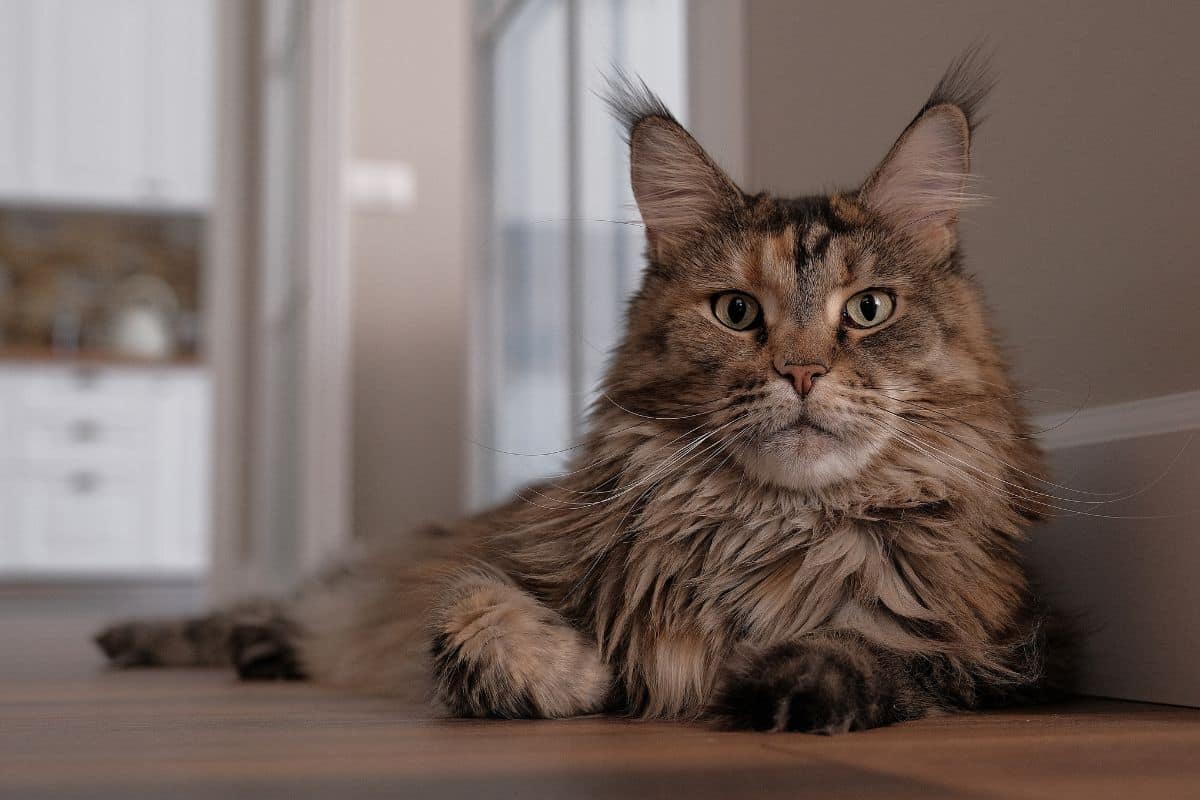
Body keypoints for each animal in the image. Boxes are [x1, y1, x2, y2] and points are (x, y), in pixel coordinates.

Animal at [96, 50, 1051, 734]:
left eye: (869, 309)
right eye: (737, 312)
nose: (803, 372)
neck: (768, 526)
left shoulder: (999, 647)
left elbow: (880, 649)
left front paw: (785, 680)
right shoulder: (503, 561)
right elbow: (468, 607)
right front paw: (582, 672)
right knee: (271, 606)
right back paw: (152, 637)